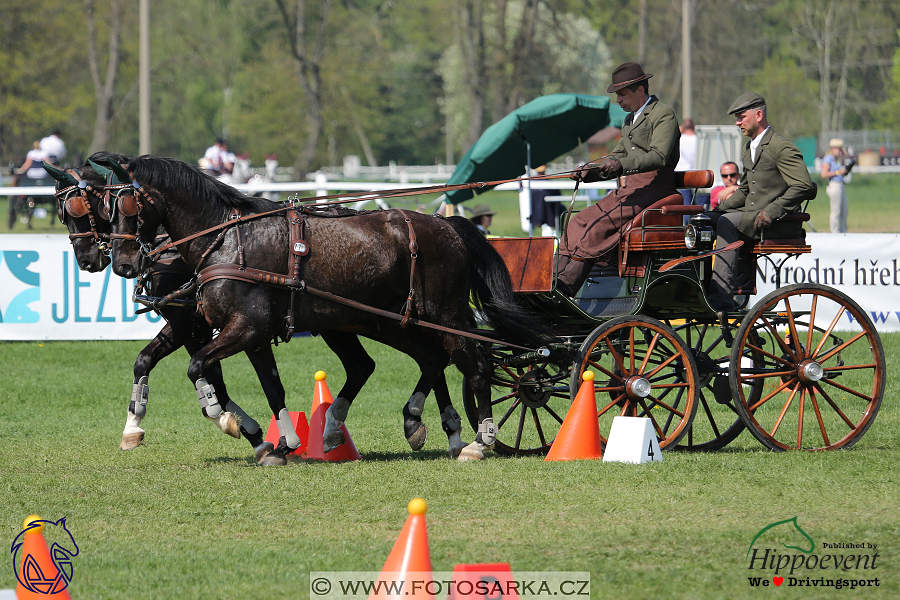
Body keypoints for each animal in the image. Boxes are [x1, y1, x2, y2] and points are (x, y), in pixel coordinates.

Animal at [44, 158, 274, 460]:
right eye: (62, 214)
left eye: (78, 208)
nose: (85, 261)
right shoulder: (194, 329)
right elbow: (162, 365)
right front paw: (132, 428)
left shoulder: (187, 322)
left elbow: (209, 378)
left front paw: (241, 427)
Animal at [102, 155, 544, 464]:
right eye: (106, 209)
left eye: (127, 207)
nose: (122, 263)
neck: (226, 239)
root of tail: (447, 226)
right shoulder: (238, 332)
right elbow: (264, 384)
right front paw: (276, 443)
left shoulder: (246, 327)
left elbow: (200, 369)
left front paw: (223, 416)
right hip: (384, 320)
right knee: (423, 359)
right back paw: (400, 423)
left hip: (443, 315)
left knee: (475, 366)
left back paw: (478, 441)